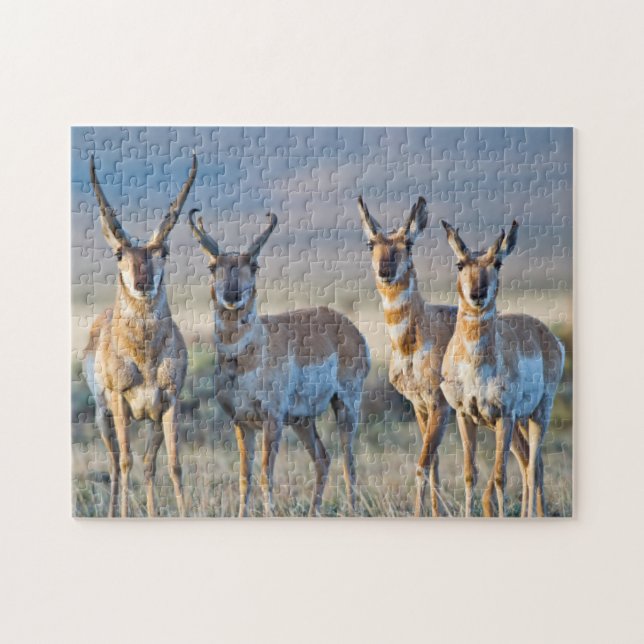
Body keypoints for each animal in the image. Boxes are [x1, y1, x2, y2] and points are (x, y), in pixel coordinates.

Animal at [83, 154, 197, 517]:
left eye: (164, 252)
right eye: (120, 253)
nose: (143, 282)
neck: (145, 357)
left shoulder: (169, 403)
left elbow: (172, 465)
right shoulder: (119, 402)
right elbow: (125, 463)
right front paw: (123, 515)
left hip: (149, 421)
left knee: (148, 465)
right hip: (103, 416)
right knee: (115, 462)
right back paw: (111, 512)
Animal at [188, 209, 370, 517]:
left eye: (254, 265)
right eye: (213, 266)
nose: (232, 295)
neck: (247, 355)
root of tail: (347, 326)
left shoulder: (272, 420)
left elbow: (265, 474)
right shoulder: (242, 423)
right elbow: (244, 477)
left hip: (346, 405)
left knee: (349, 461)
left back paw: (352, 509)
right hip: (302, 419)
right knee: (323, 459)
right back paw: (313, 513)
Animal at [357, 196, 457, 517]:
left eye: (409, 243)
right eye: (370, 243)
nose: (385, 270)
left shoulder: (440, 406)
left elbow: (422, 465)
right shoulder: (419, 406)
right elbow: (434, 464)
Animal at [440, 220, 565, 517]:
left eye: (497, 263)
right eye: (460, 264)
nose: (477, 294)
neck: (475, 366)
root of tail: (546, 334)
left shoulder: (503, 416)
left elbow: (499, 475)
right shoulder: (464, 415)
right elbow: (469, 474)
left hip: (538, 413)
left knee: (533, 467)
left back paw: (531, 515)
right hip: (520, 421)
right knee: (530, 463)